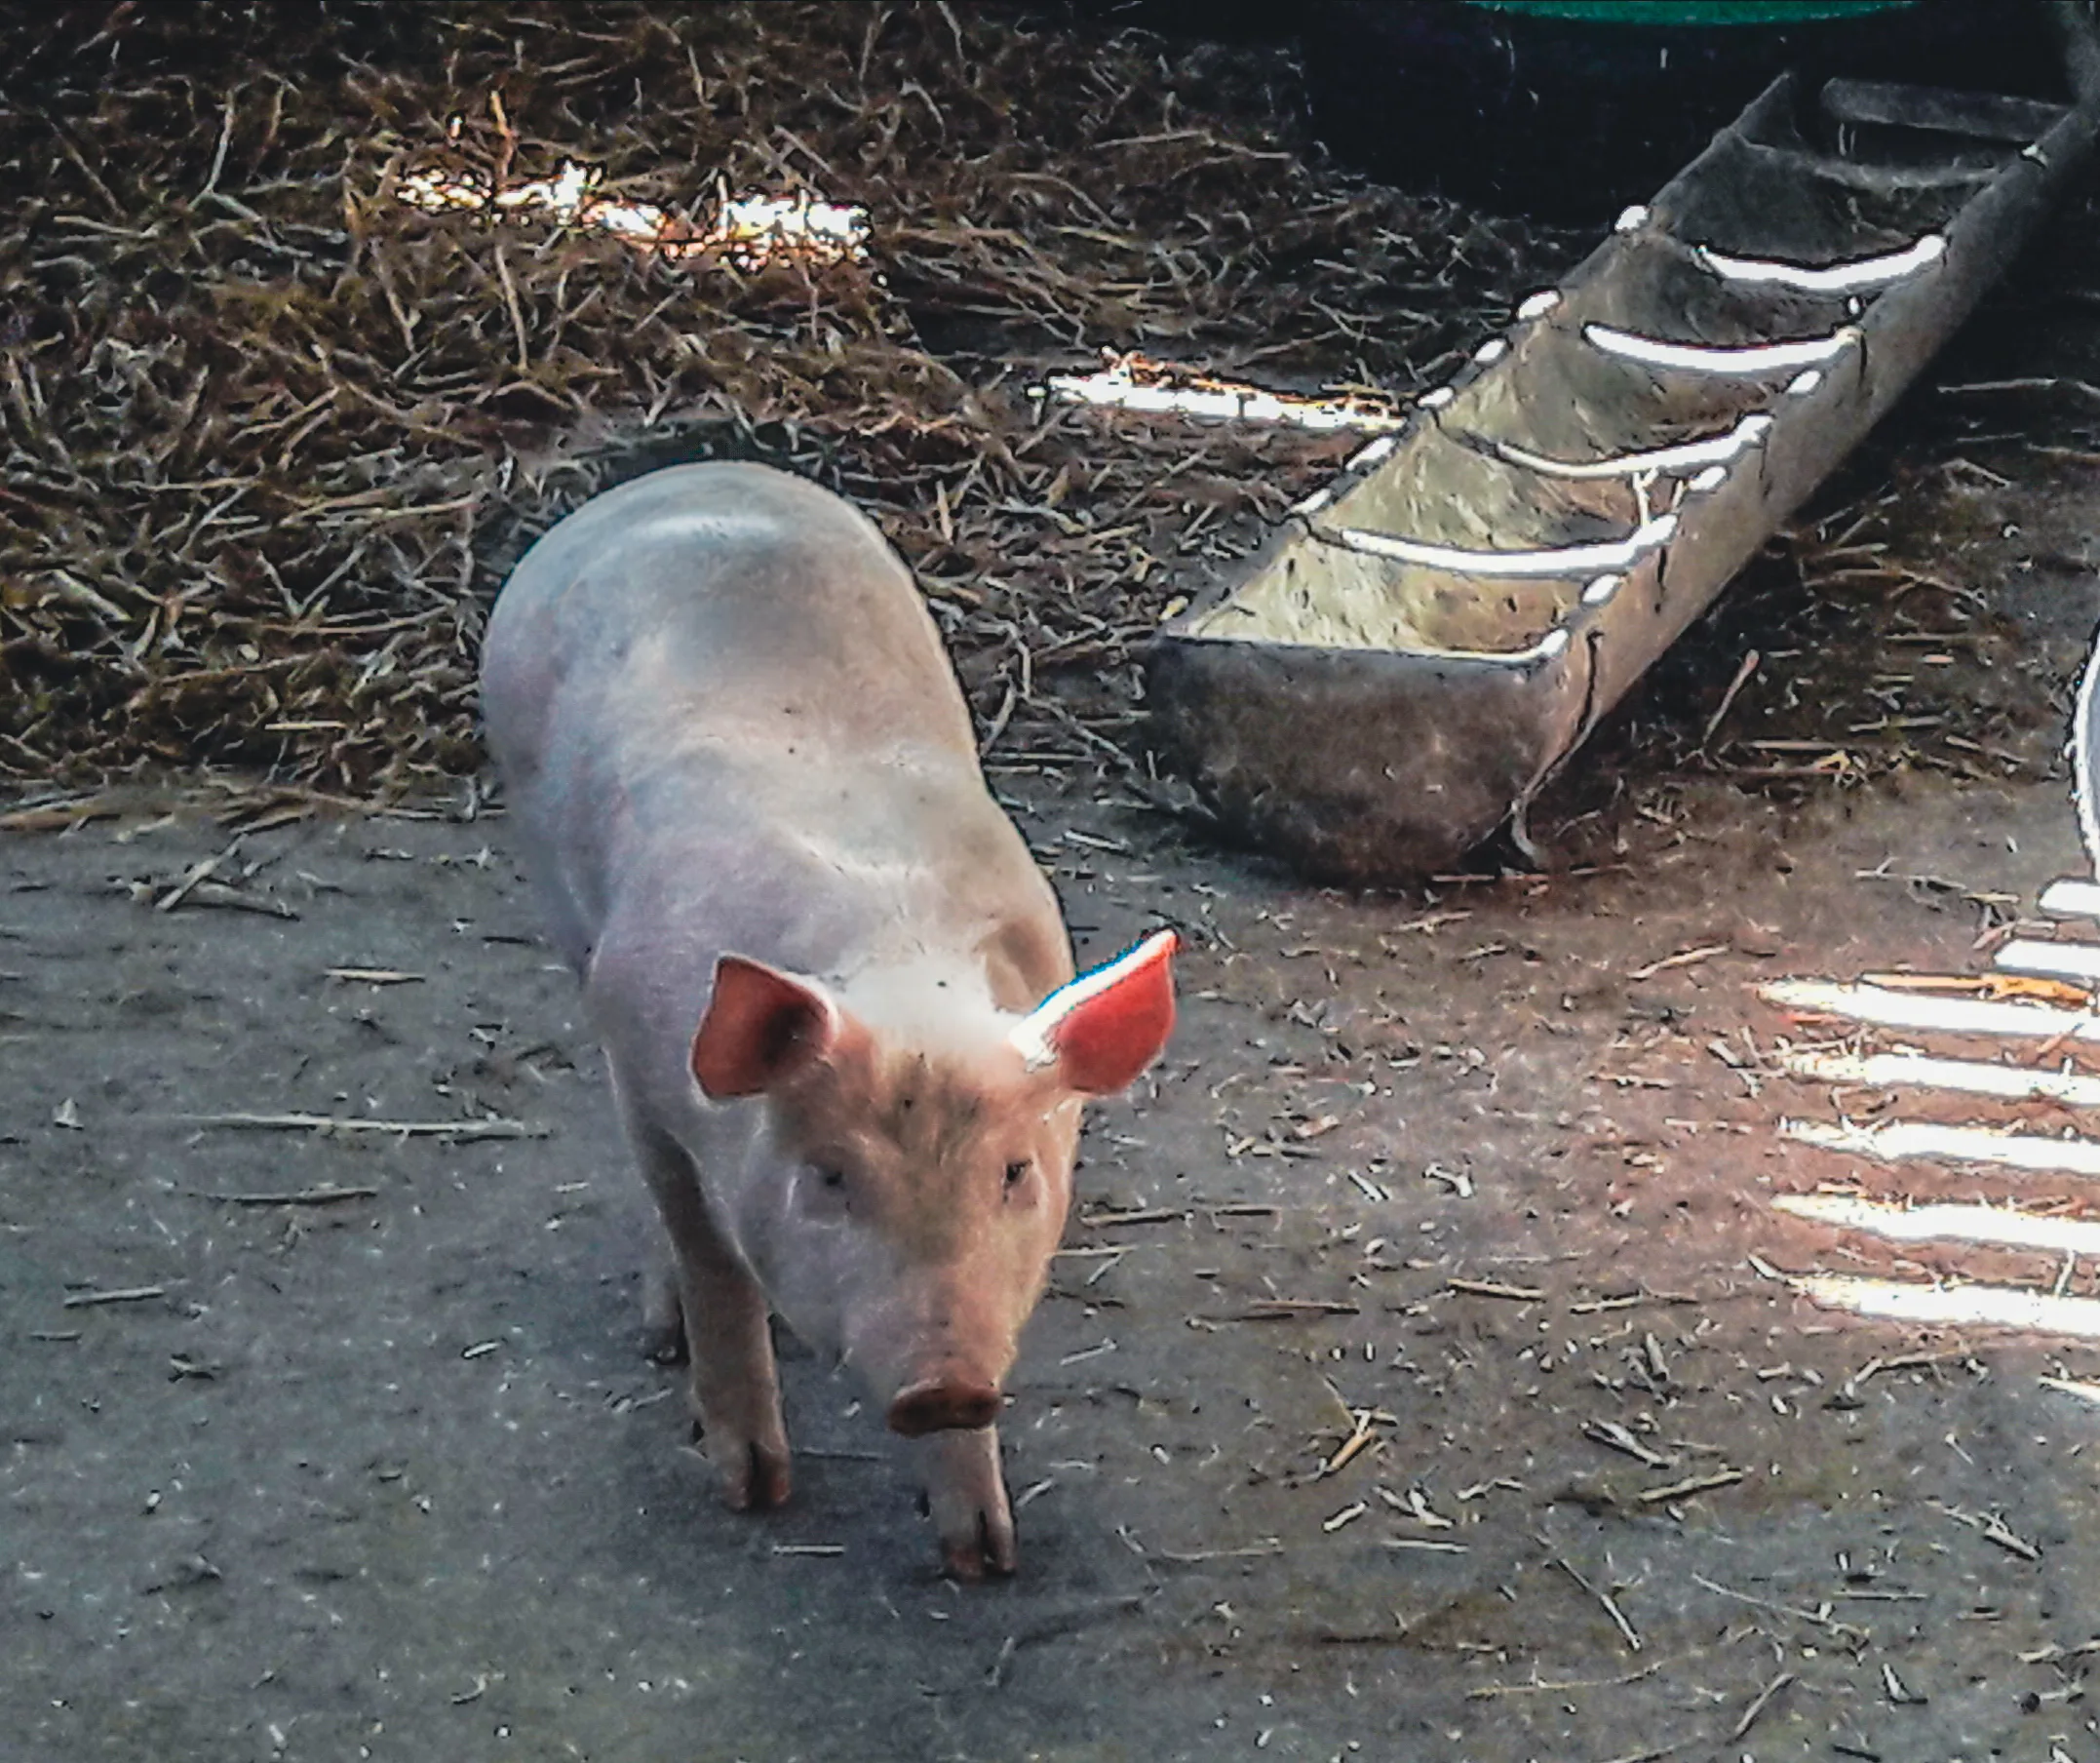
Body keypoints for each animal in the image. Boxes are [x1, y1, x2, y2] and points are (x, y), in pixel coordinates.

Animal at [479, 460, 1177, 1578]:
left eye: (1015, 1172)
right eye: (831, 1175)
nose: (944, 1380)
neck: (897, 972)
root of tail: (670, 478)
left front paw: (984, 1554)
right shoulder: (644, 1060)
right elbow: (711, 1261)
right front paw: (754, 1490)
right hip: (555, 890)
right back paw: (659, 1335)